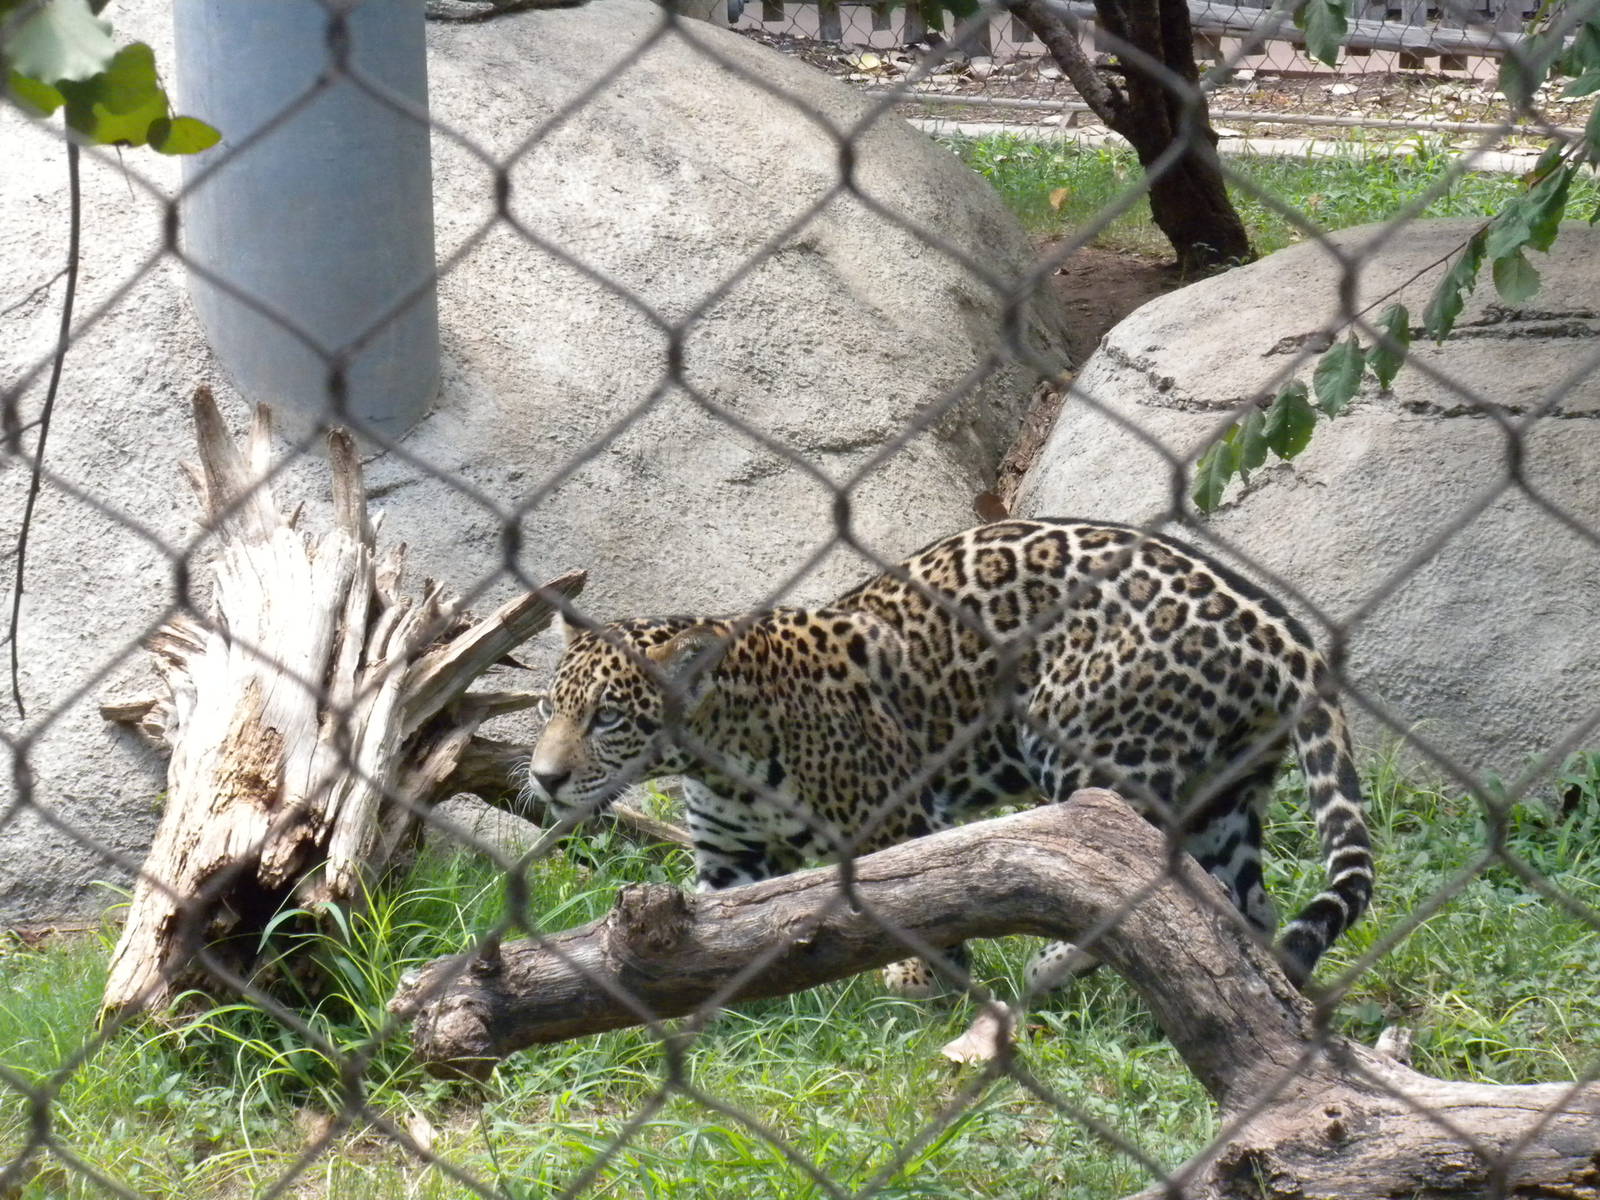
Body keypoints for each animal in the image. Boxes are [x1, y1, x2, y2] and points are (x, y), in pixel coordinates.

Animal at [528, 518, 1373, 995]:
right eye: (547, 708)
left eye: (608, 718)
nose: (544, 777)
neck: (718, 750)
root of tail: (1278, 626)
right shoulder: (727, 859)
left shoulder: (891, 820)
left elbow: (908, 907)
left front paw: (916, 978)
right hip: (1221, 798)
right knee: (1239, 908)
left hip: (1086, 750)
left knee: (1138, 885)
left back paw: (1052, 973)